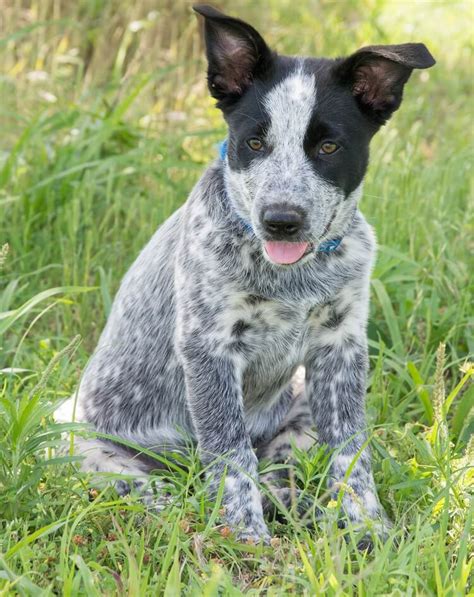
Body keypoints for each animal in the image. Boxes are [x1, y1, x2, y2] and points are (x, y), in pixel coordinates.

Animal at [57, 5, 436, 544]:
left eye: (328, 147)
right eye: (254, 142)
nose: (281, 219)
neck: (295, 275)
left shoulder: (341, 348)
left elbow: (351, 452)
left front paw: (370, 527)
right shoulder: (210, 348)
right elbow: (230, 453)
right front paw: (245, 538)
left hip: (300, 413)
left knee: (281, 475)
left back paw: (309, 513)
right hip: (84, 448)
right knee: (166, 490)